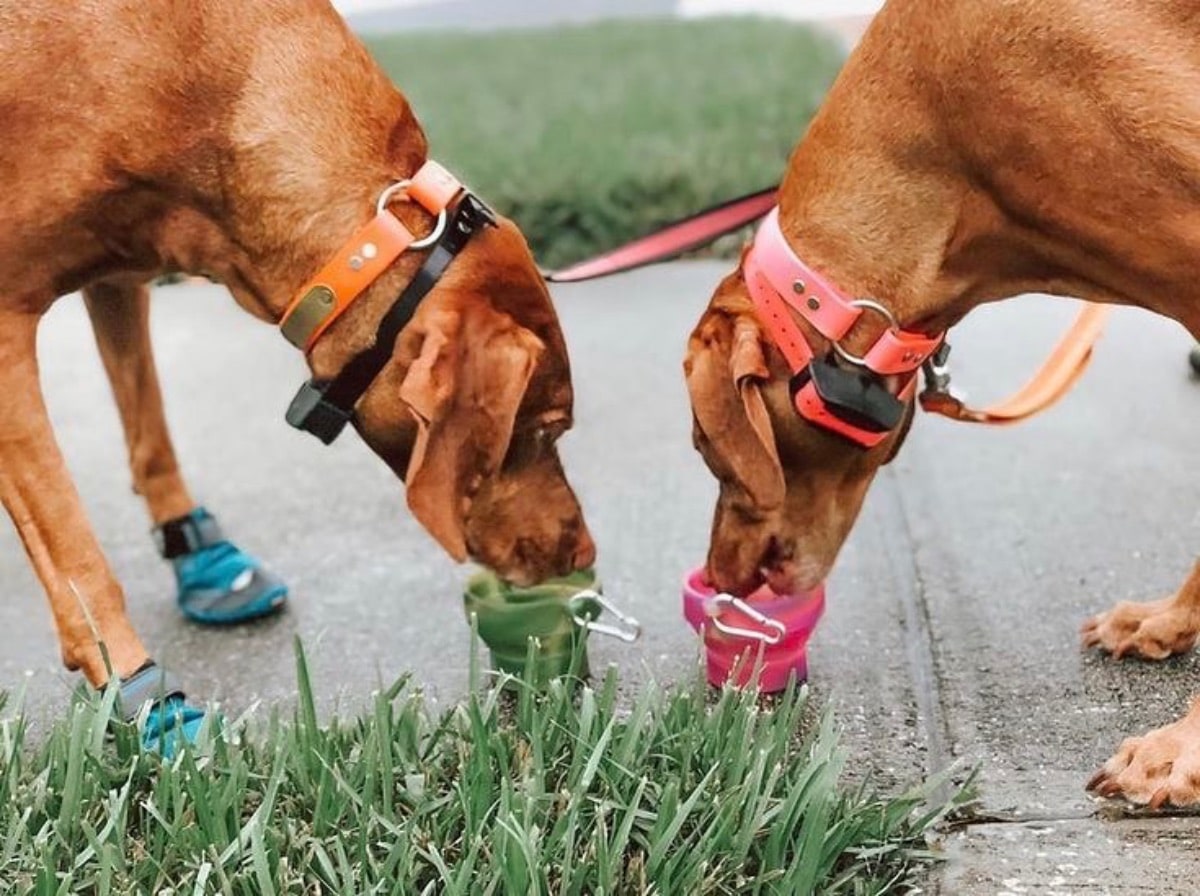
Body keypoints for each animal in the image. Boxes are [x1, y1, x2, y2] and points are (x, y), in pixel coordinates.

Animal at [0, 0, 595, 695]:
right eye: (541, 432)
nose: (584, 552)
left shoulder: (119, 270)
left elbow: (151, 434)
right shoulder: (7, 324)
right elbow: (74, 551)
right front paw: (138, 687)